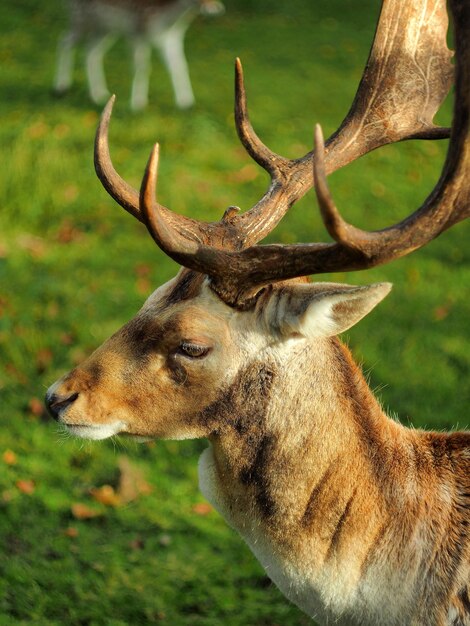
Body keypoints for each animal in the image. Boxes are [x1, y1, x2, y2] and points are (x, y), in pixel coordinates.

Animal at [52, 0, 225, 109]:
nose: (214, 8)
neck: (168, 21)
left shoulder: (173, 38)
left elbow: (179, 65)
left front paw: (186, 102)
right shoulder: (137, 32)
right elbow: (141, 67)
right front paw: (137, 104)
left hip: (105, 28)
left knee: (91, 51)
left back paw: (99, 95)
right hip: (80, 18)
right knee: (64, 40)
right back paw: (61, 87)